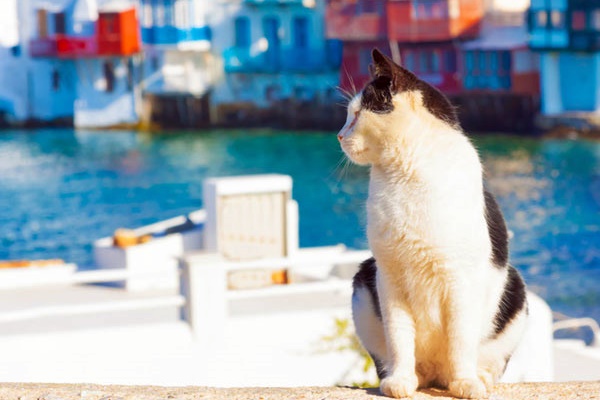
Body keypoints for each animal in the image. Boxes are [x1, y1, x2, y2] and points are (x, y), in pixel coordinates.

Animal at [340, 50, 528, 400]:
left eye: (356, 114)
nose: (340, 136)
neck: (405, 173)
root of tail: (436, 378)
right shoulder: (389, 276)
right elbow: (399, 337)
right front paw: (399, 381)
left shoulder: (461, 279)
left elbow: (461, 339)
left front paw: (466, 382)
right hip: (363, 280)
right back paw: (408, 378)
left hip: (516, 292)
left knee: (485, 359)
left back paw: (476, 378)